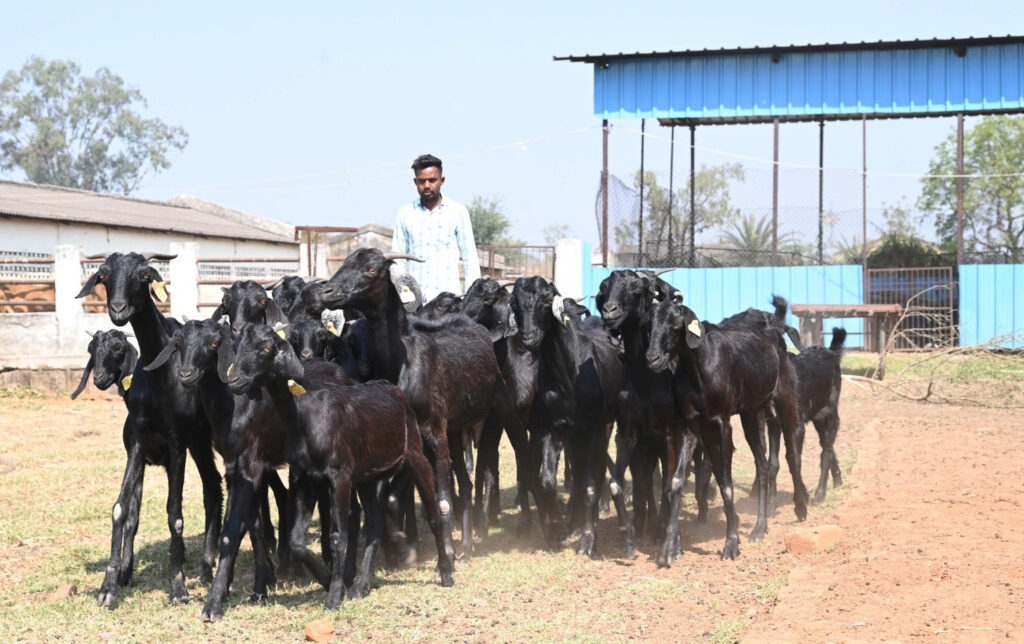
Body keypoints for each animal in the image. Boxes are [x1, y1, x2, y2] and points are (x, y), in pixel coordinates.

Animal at [78, 252, 224, 606]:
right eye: (103, 275)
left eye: (145, 275)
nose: (118, 310)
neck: (162, 374)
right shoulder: (139, 443)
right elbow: (122, 508)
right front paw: (109, 585)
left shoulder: (177, 442)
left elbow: (175, 513)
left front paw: (178, 587)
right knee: (213, 485)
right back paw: (205, 566)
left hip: (200, 438)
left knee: (213, 486)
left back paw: (205, 568)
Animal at [218, 323, 454, 610]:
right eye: (238, 345)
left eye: (265, 349)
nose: (234, 380)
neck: (305, 414)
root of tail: (392, 387)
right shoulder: (307, 476)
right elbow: (296, 540)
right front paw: (327, 579)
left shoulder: (339, 474)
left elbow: (338, 536)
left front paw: (333, 596)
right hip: (366, 475)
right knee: (374, 522)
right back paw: (361, 586)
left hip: (415, 456)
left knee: (433, 514)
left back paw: (446, 573)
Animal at [509, 274, 618, 556]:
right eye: (514, 303)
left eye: (547, 301)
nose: (528, 336)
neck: (570, 377)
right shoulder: (553, 428)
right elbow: (546, 480)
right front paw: (557, 528)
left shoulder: (594, 428)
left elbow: (590, 482)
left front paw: (588, 542)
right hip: (573, 435)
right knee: (577, 471)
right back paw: (571, 519)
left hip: (601, 427)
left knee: (592, 472)